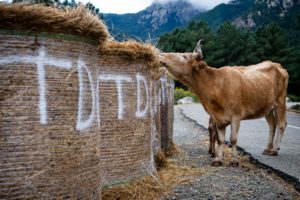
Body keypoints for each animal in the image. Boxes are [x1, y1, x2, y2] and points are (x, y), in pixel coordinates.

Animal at [161, 40, 290, 166]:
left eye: (184, 56)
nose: (162, 54)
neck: (216, 85)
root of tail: (276, 65)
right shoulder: (218, 118)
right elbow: (220, 139)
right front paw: (218, 159)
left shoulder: (236, 116)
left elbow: (233, 138)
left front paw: (234, 160)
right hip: (267, 107)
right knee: (272, 125)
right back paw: (268, 148)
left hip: (280, 102)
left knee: (281, 124)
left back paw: (274, 150)